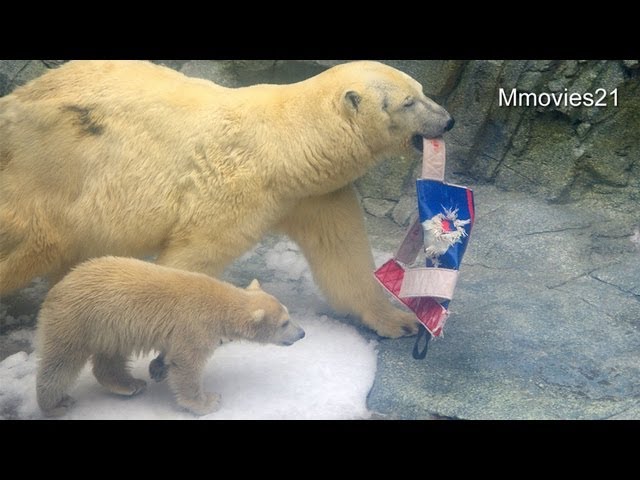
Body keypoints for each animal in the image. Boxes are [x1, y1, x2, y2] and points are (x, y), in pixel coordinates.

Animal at [0, 60, 452, 338]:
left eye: (422, 89)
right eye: (408, 102)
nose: (447, 121)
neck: (289, 144)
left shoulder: (313, 194)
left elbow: (344, 255)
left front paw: (399, 320)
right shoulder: (237, 189)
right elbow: (193, 255)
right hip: (52, 166)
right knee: (38, 239)